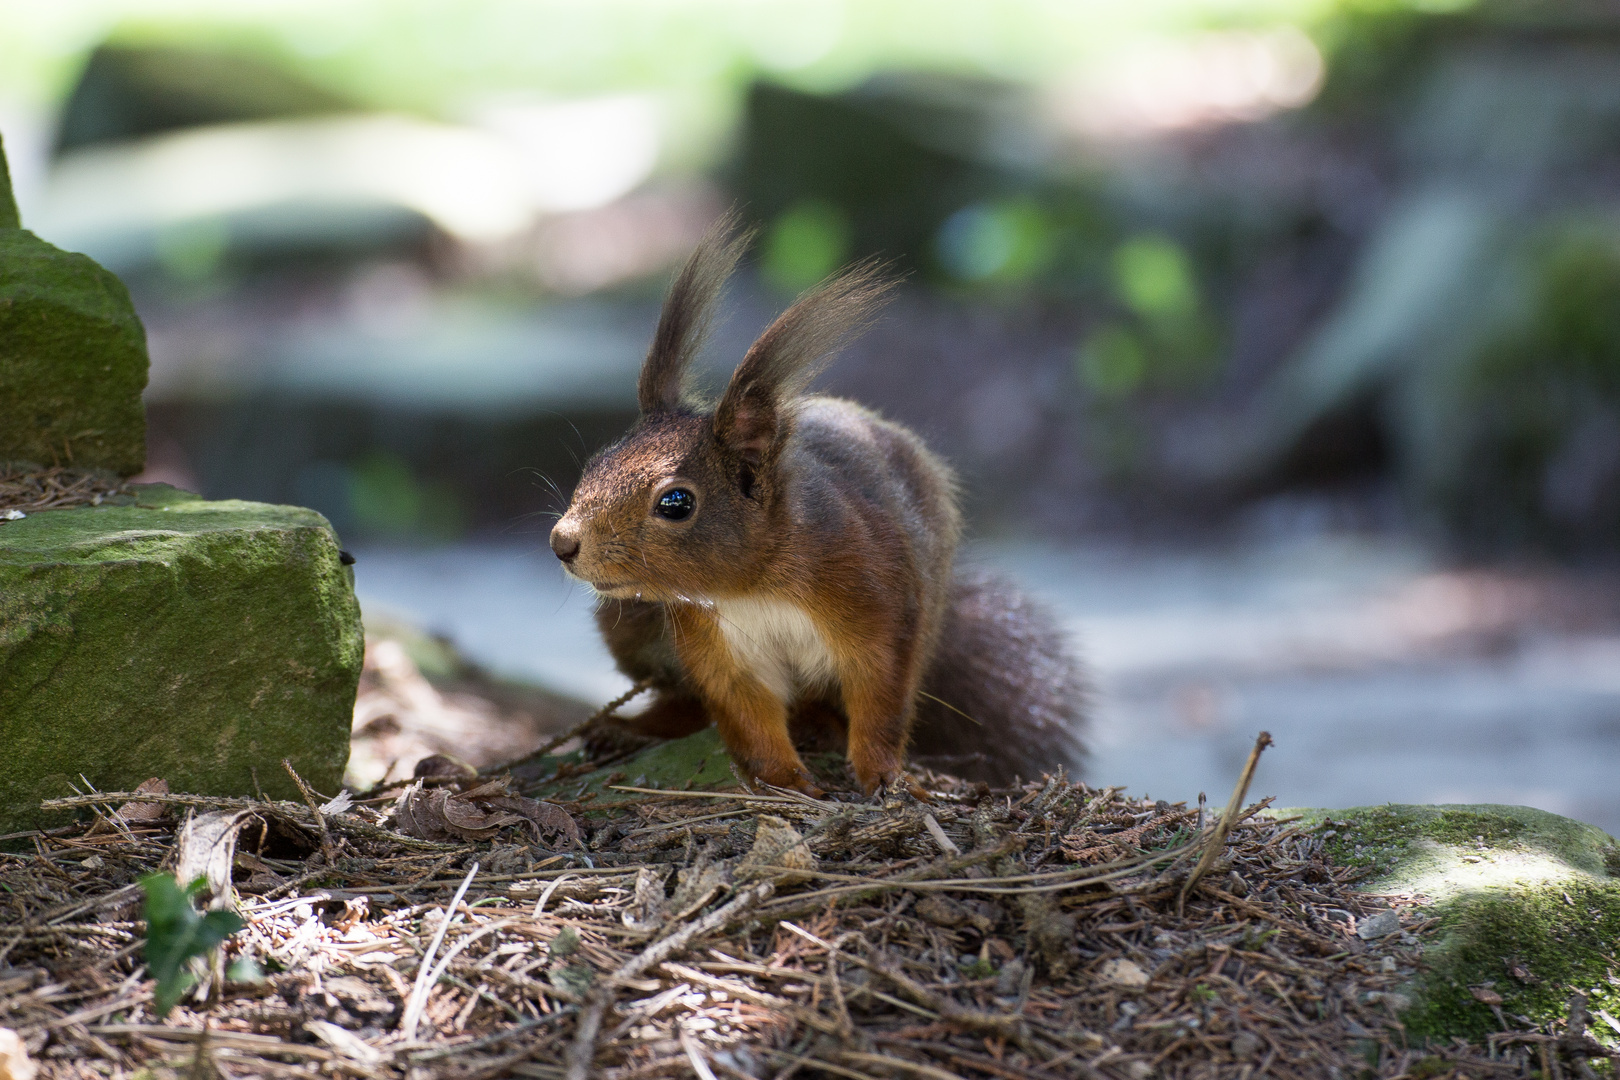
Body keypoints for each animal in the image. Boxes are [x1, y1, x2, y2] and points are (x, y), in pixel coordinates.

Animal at [547, 221, 1088, 793]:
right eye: (596, 461)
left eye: (676, 502)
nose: (563, 542)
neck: (753, 587)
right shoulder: (718, 646)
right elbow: (746, 716)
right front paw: (786, 781)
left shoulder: (876, 599)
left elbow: (881, 695)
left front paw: (882, 775)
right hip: (629, 624)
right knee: (685, 704)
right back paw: (629, 730)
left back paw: (816, 725)